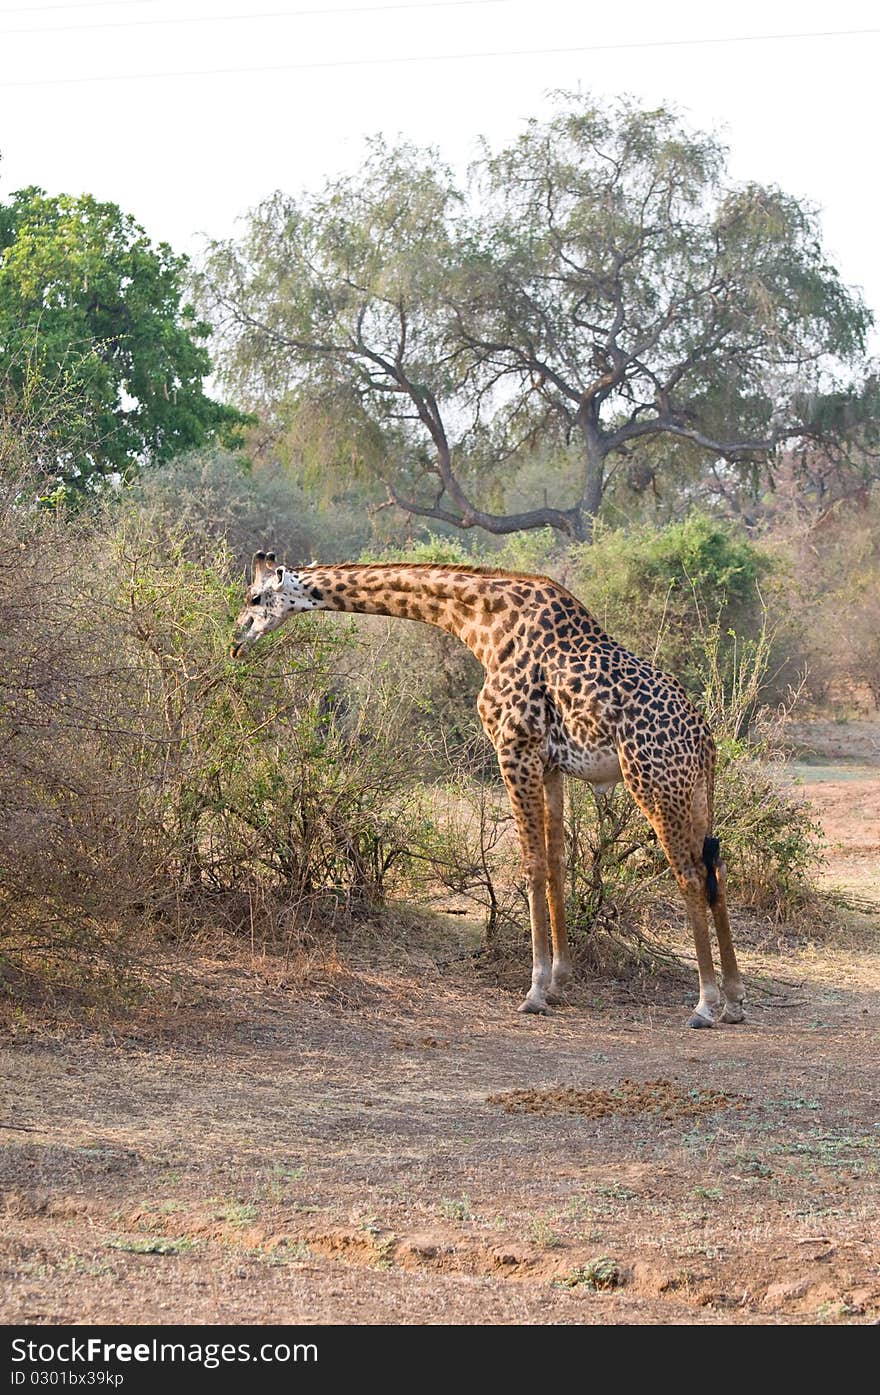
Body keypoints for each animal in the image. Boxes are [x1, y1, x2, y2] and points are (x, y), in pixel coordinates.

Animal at [232, 549, 741, 1032]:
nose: (237, 640)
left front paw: (534, 991)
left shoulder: (513, 748)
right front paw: (559, 982)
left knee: (690, 875)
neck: (485, 625)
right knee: (715, 867)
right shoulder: (551, 765)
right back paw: (734, 1001)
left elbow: (531, 866)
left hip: (653, 781)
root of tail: (705, 740)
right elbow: (557, 865)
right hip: (695, 792)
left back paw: (704, 1004)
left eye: (255, 598)